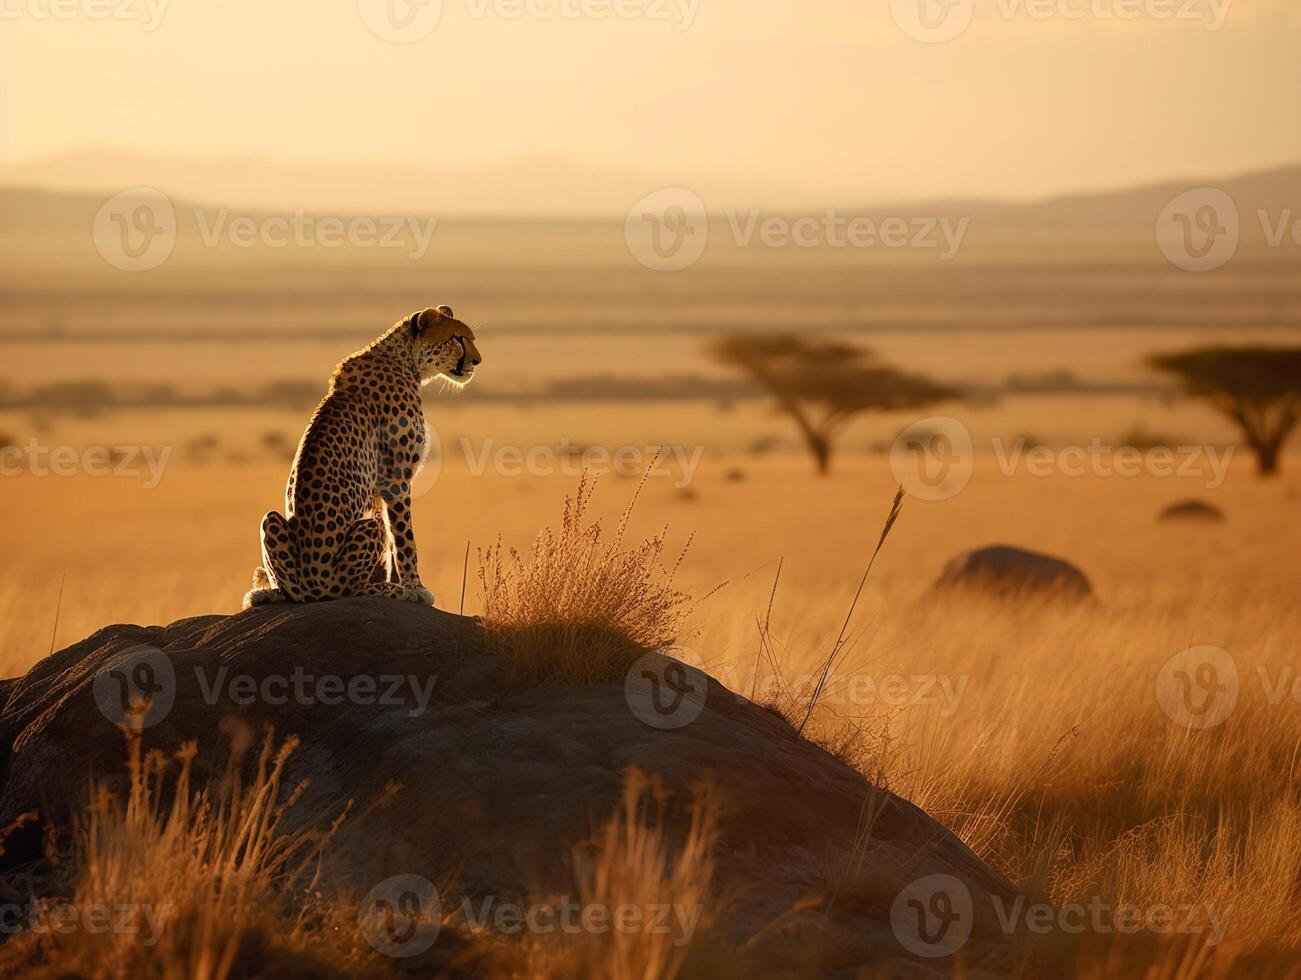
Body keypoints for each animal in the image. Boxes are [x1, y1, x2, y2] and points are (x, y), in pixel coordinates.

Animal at [241, 305, 481, 611]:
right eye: (457, 339)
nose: (477, 361)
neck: (406, 359)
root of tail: (311, 586)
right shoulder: (396, 481)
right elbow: (404, 539)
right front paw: (414, 588)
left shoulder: (379, 487)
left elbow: (391, 541)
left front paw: (398, 581)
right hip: (361, 534)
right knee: (347, 588)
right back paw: (384, 590)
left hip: (271, 520)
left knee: (291, 585)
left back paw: (267, 593)